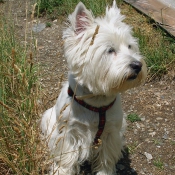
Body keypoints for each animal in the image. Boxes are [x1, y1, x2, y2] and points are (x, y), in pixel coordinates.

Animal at [40, 0, 146, 174]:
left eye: (130, 46)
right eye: (110, 50)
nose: (138, 65)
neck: (96, 101)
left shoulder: (110, 134)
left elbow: (106, 159)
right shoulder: (69, 132)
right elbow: (66, 158)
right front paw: (62, 170)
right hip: (48, 118)